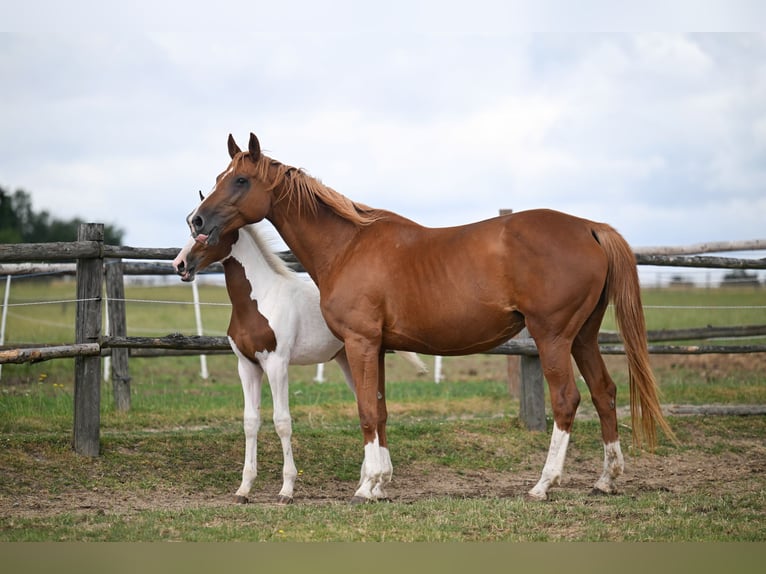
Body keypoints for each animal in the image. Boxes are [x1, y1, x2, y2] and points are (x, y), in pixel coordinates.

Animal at [173, 220, 427, 504]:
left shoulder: (277, 364)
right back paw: (372, 486)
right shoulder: (247, 366)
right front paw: (244, 489)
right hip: (349, 362)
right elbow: (250, 422)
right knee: (374, 411)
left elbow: (282, 422)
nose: (180, 264)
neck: (261, 299)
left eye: (207, 233)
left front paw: (286, 490)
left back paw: (371, 486)